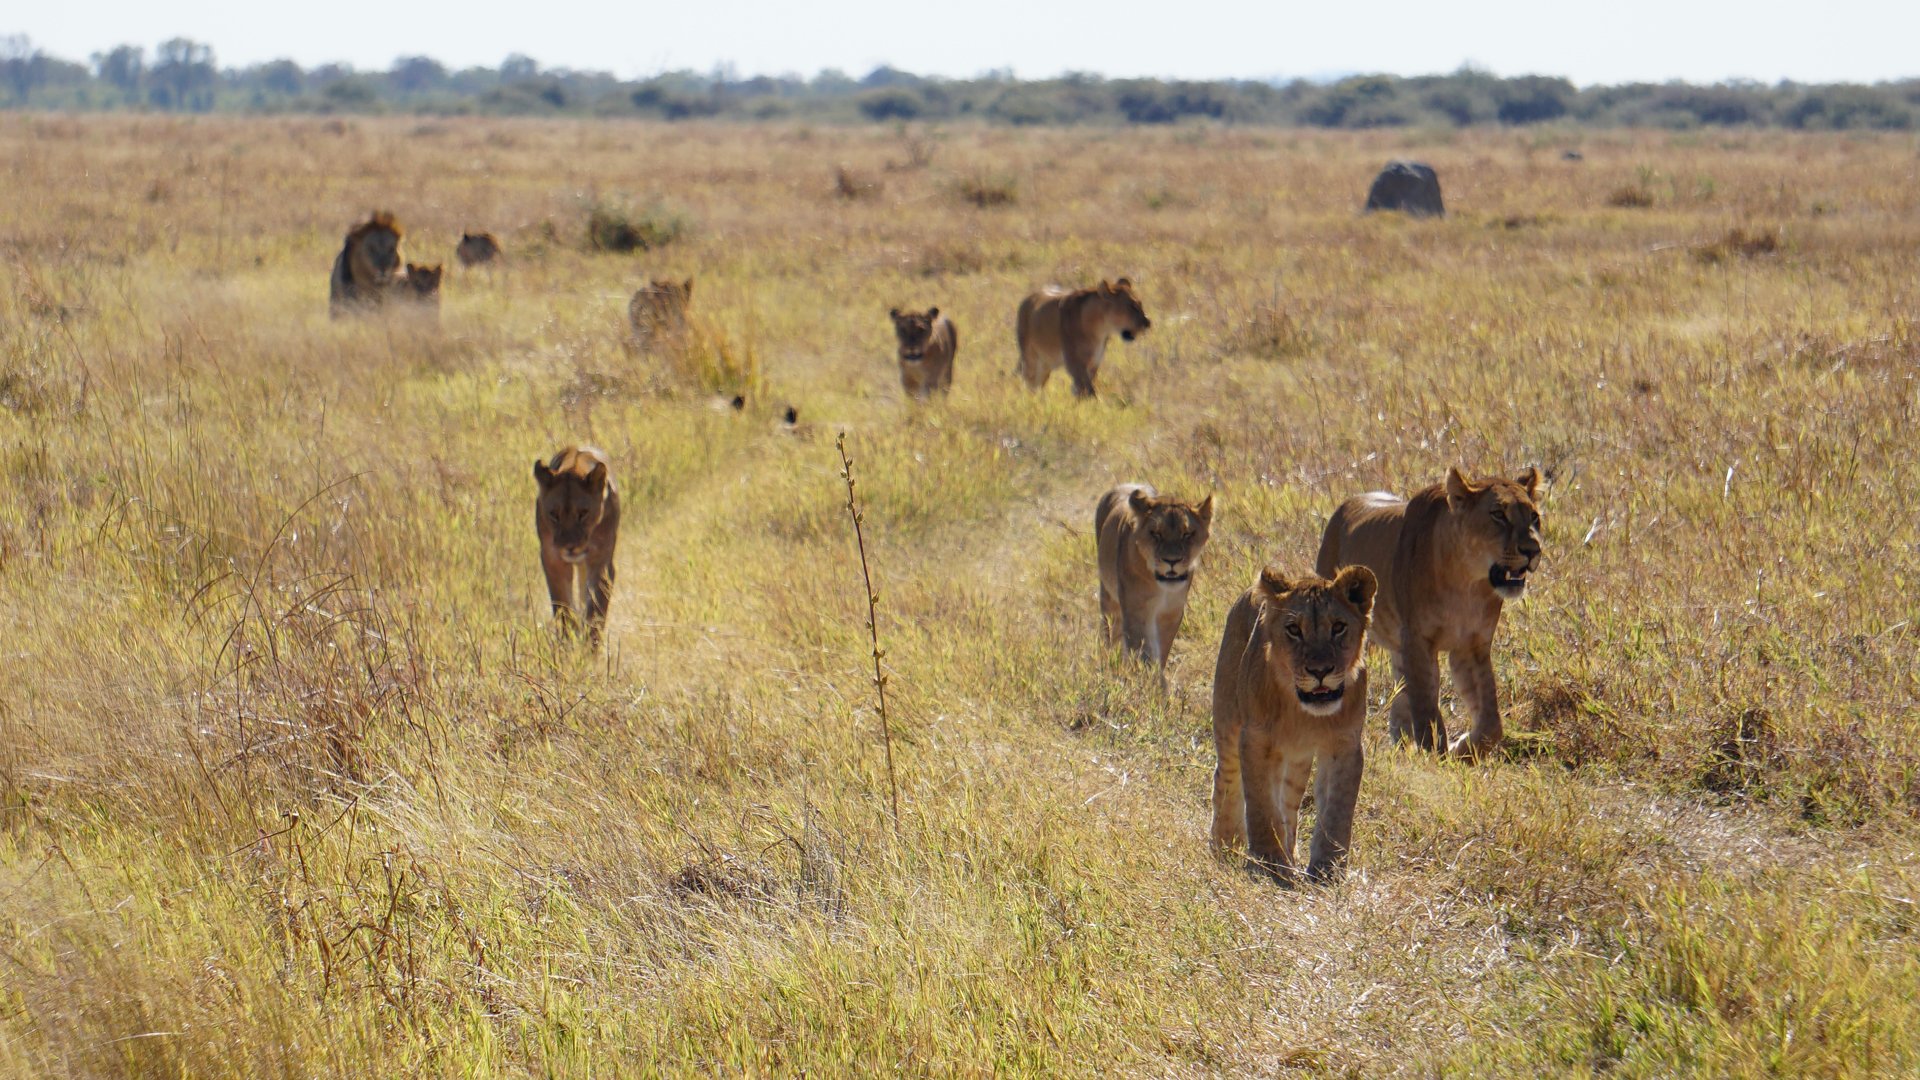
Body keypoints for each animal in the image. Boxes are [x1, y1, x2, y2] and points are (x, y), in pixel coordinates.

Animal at [533, 443, 622, 641]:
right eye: (554, 514)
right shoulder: (553, 559)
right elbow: (563, 609)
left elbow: (595, 611)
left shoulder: (601, 563)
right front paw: (569, 641)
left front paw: (589, 644)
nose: (569, 547)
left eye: (583, 513)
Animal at [1013, 276, 1144, 395]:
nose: (1146, 322)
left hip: (1045, 362)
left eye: (1140, 304)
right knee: (1028, 380)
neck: (1099, 330)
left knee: (1037, 384)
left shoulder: (1094, 362)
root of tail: (1029, 297)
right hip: (1030, 357)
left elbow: (1085, 387)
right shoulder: (1074, 362)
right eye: (1132, 306)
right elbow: (1087, 389)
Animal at [1098, 480, 1213, 680]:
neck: (1161, 587)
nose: (1172, 561)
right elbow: (1145, 651)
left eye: (1187, 534)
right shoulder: (1136, 610)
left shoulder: (1171, 613)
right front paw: (1151, 682)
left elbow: (1161, 650)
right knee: (1110, 632)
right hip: (1108, 598)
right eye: (1156, 534)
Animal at [1205, 557, 1374, 880]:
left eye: (1338, 627)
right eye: (1294, 629)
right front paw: (1268, 862)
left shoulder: (1345, 743)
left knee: (1288, 804)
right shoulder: (1255, 738)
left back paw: (1290, 852)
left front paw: (1327, 868)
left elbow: (1337, 809)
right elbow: (1260, 804)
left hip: (1297, 760)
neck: (1303, 712)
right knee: (1227, 777)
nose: (1319, 671)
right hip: (1228, 724)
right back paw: (1225, 844)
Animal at [1320, 465, 1543, 757]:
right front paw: (1435, 755)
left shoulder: (1471, 647)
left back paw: (1401, 744)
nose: (1533, 550)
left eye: (1534, 517)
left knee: (1401, 692)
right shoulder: (1418, 641)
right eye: (1498, 514)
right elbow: (1427, 709)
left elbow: (1491, 721)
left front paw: (1462, 750)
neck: (1466, 582)